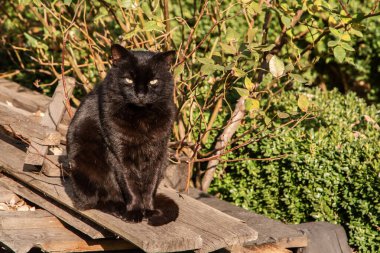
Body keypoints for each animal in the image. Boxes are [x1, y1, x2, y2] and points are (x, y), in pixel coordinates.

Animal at [65, 44, 177, 222]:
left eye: (153, 81)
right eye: (128, 79)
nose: (141, 94)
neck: (141, 117)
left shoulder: (157, 153)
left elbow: (150, 185)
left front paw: (148, 210)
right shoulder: (119, 153)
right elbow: (130, 184)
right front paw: (135, 212)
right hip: (80, 162)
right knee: (96, 201)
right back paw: (118, 209)